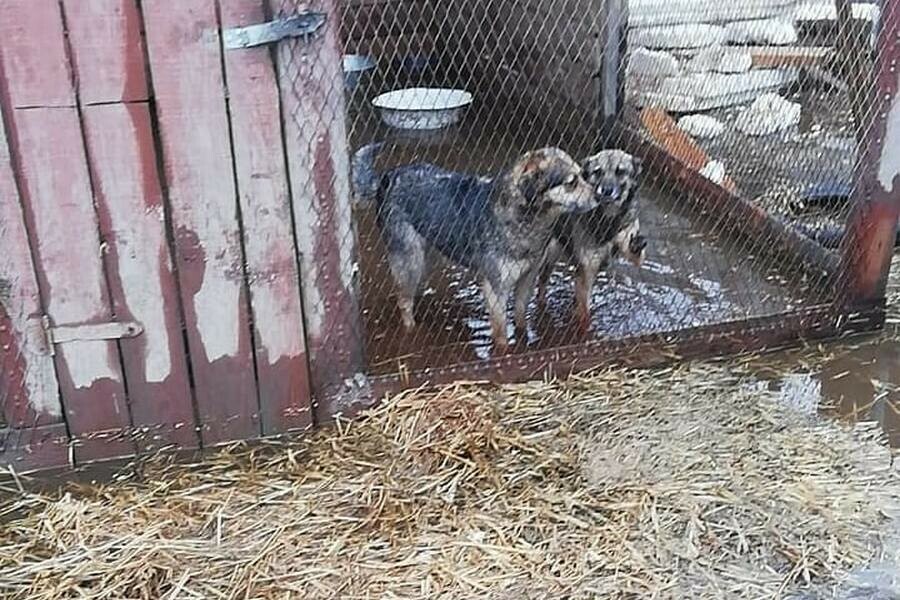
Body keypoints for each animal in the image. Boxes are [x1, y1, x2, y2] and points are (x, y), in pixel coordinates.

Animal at [352, 144, 596, 352]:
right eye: (571, 182)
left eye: (583, 174)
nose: (600, 195)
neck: (525, 218)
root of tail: (387, 178)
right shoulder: (495, 288)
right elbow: (500, 334)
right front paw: (504, 355)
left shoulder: (527, 279)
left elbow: (520, 321)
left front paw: (524, 341)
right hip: (410, 260)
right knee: (403, 302)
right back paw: (412, 328)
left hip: (425, 254)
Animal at [536, 150, 644, 328]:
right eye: (598, 172)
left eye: (620, 171)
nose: (606, 190)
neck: (607, 219)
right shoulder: (587, 269)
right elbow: (585, 312)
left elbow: (634, 253)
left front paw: (637, 244)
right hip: (549, 257)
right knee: (542, 288)